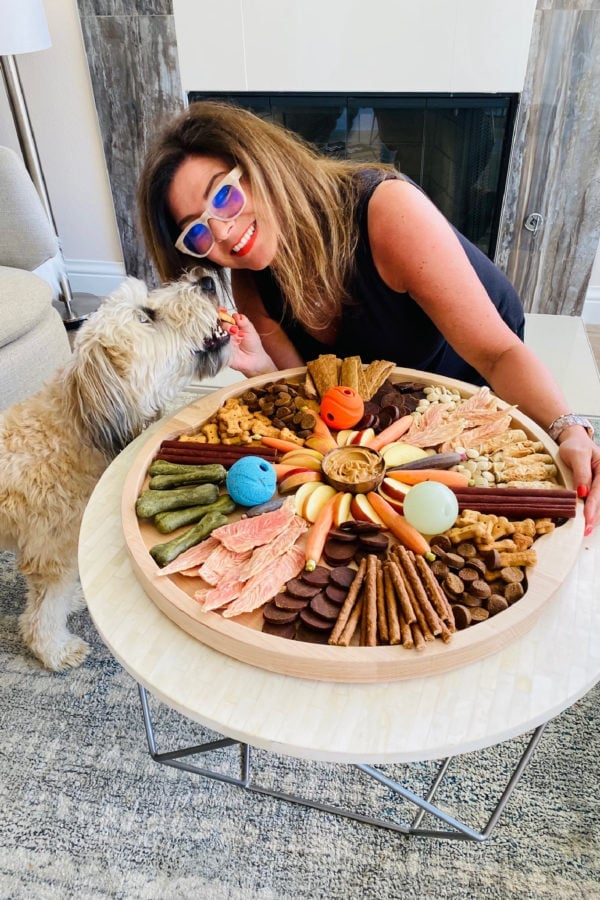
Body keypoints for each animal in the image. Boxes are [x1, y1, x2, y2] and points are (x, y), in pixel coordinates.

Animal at [0, 270, 232, 672]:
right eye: (147, 316)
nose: (204, 279)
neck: (78, 431)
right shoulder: (50, 552)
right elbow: (43, 614)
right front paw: (55, 650)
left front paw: (74, 600)